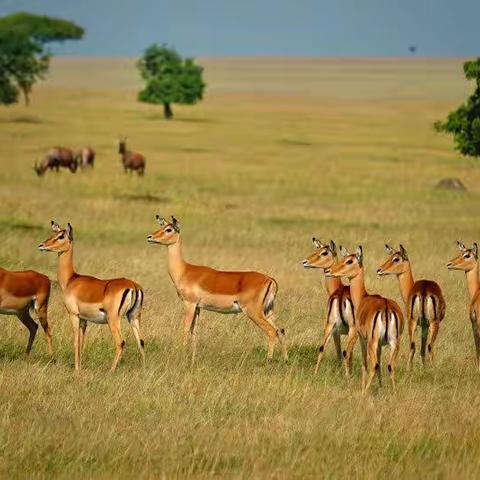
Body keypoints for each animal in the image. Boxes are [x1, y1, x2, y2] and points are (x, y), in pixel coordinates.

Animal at [37, 221, 144, 372]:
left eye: (61, 236)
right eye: (53, 234)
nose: (41, 245)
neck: (70, 280)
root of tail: (133, 285)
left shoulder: (74, 315)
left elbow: (76, 342)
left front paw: (76, 369)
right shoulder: (84, 319)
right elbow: (82, 342)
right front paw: (80, 366)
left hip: (113, 319)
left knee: (120, 342)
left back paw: (111, 370)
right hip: (133, 317)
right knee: (141, 342)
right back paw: (144, 368)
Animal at [146, 215, 288, 364]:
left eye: (169, 229)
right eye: (161, 226)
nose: (150, 237)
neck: (184, 270)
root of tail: (270, 279)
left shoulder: (190, 304)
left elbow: (185, 328)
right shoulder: (198, 307)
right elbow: (194, 331)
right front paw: (193, 358)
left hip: (253, 312)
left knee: (271, 331)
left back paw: (268, 360)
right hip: (268, 311)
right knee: (281, 330)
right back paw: (285, 359)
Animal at [302, 238, 354, 376]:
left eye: (324, 252)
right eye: (317, 250)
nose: (305, 262)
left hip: (330, 327)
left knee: (322, 349)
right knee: (345, 352)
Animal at [328, 248, 404, 394]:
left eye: (349, 261)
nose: (330, 270)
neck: (363, 298)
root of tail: (386, 307)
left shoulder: (362, 338)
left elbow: (364, 364)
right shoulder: (380, 344)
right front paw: (380, 387)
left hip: (371, 342)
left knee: (373, 364)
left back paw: (364, 392)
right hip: (394, 343)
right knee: (390, 365)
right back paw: (394, 393)